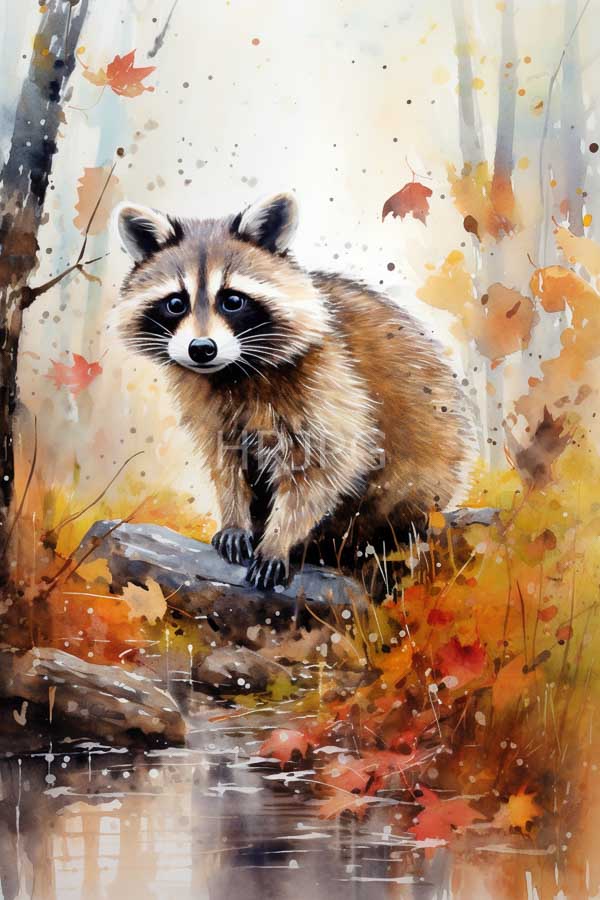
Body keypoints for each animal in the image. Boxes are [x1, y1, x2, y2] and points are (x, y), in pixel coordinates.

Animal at [115, 193, 473, 590]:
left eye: (233, 300)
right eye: (176, 303)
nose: (201, 349)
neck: (232, 372)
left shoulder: (328, 377)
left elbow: (329, 462)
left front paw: (279, 539)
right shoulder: (207, 403)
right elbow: (225, 461)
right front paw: (235, 518)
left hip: (422, 474)